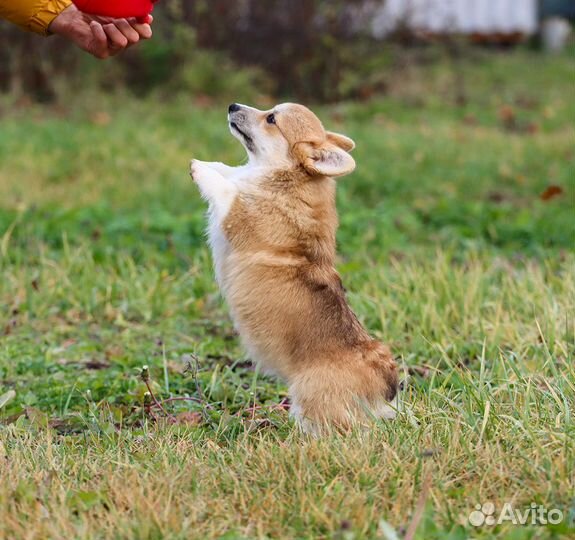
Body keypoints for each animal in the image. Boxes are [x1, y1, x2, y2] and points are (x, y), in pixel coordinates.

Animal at [191, 102, 398, 434]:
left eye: (271, 119)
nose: (233, 105)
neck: (285, 175)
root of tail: (386, 389)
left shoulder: (237, 216)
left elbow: (227, 190)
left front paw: (199, 168)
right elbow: (230, 172)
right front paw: (212, 164)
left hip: (311, 398)